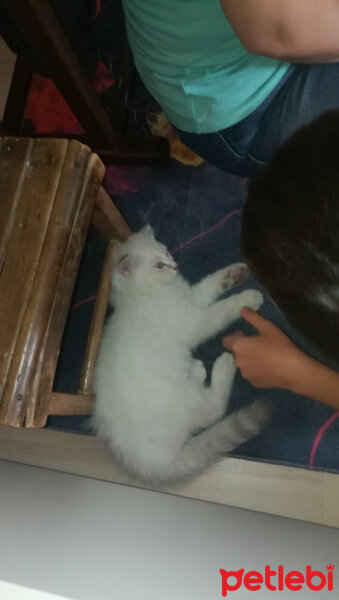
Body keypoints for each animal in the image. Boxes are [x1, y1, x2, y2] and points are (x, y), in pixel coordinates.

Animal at [93, 225, 270, 482]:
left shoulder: (192, 298)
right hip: (180, 396)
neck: (145, 293)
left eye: (166, 253)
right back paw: (223, 365)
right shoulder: (191, 323)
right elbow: (219, 311)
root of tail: (151, 464)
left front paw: (234, 273)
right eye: (158, 265)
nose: (175, 266)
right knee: (212, 411)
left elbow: (209, 284)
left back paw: (197, 368)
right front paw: (246, 298)